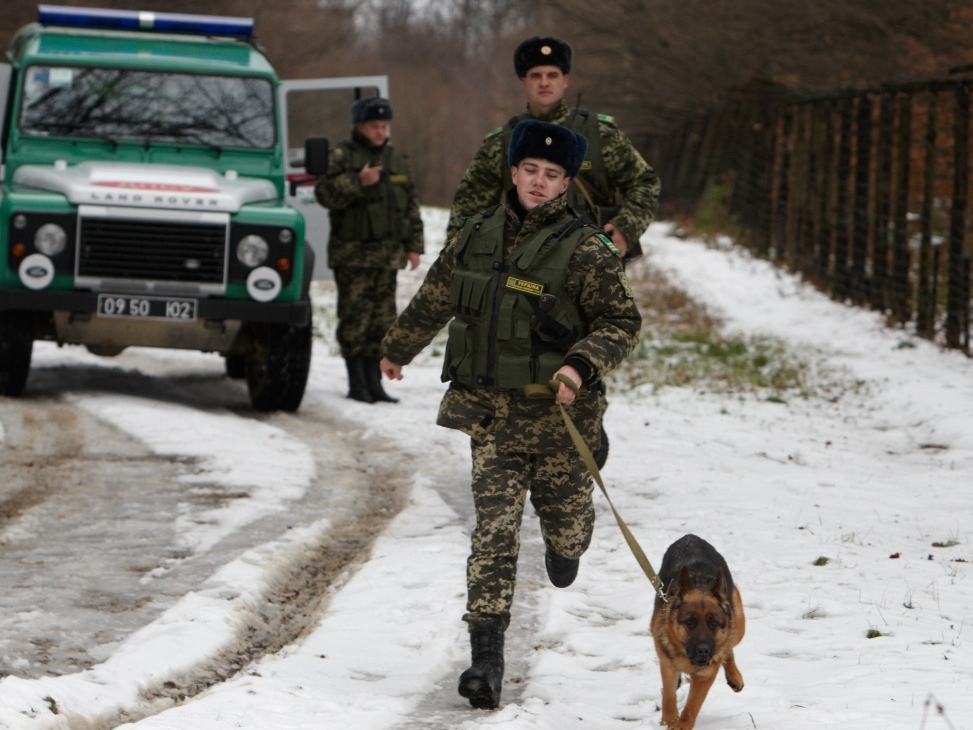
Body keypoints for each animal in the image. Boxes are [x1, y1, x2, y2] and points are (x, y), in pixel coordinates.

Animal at [648, 532, 748, 724]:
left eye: (714, 623)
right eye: (689, 622)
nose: (703, 651)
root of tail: (690, 536)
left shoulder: (705, 675)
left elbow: (691, 708)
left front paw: (680, 725)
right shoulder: (667, 665)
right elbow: (669, 696)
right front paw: (669, 721)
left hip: (739, 623)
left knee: (729, 645)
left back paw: (734, 676)